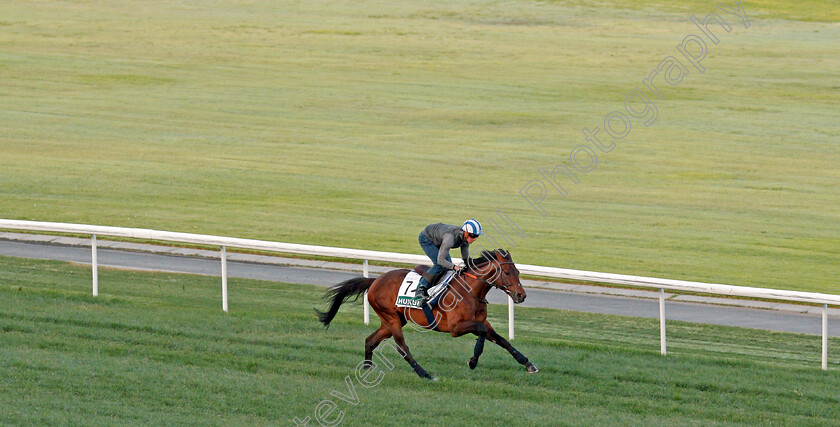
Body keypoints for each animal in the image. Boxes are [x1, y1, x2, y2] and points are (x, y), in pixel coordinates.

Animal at [316, 249, 540, 380]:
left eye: (518, 272)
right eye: (508, 273)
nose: (521, 295)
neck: (470, 291)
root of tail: (375, 281)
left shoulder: (481, 322)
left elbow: (503, 340)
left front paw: (528, 364)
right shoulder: (456, 328)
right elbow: (483, 333)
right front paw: (473, 361)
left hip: (393, 320)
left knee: (370, 340)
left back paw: (366, 368)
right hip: (391, 319)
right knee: (402, 348)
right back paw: (424, 373)